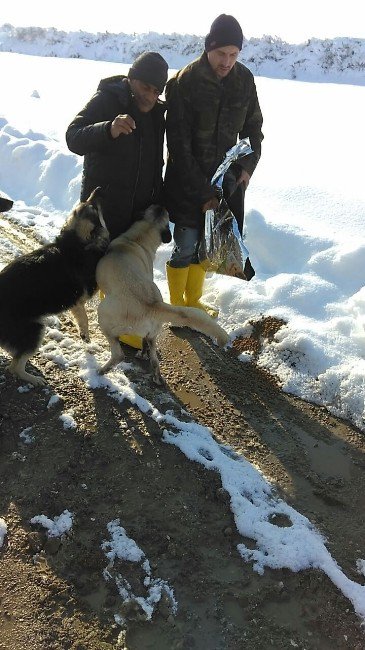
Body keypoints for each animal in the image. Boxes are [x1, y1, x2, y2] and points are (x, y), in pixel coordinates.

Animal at [0, 186, 108, 384]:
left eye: (88, 203)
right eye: (94, 209)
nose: (98, 188)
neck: (75, 243)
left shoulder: (75, 303)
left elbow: (81, 319)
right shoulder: (80, 299)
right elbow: (85, 319)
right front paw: (86, 335)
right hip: (35, 330)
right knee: (15, 367)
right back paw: (33, 379)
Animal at [96, 205, 228, 382]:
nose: (161, 205)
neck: (137, 238)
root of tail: (152, 305)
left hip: (103, 316)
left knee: (119, 354)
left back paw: (102, 370)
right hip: (152, 334)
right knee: (151, 352)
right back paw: (155, 372)